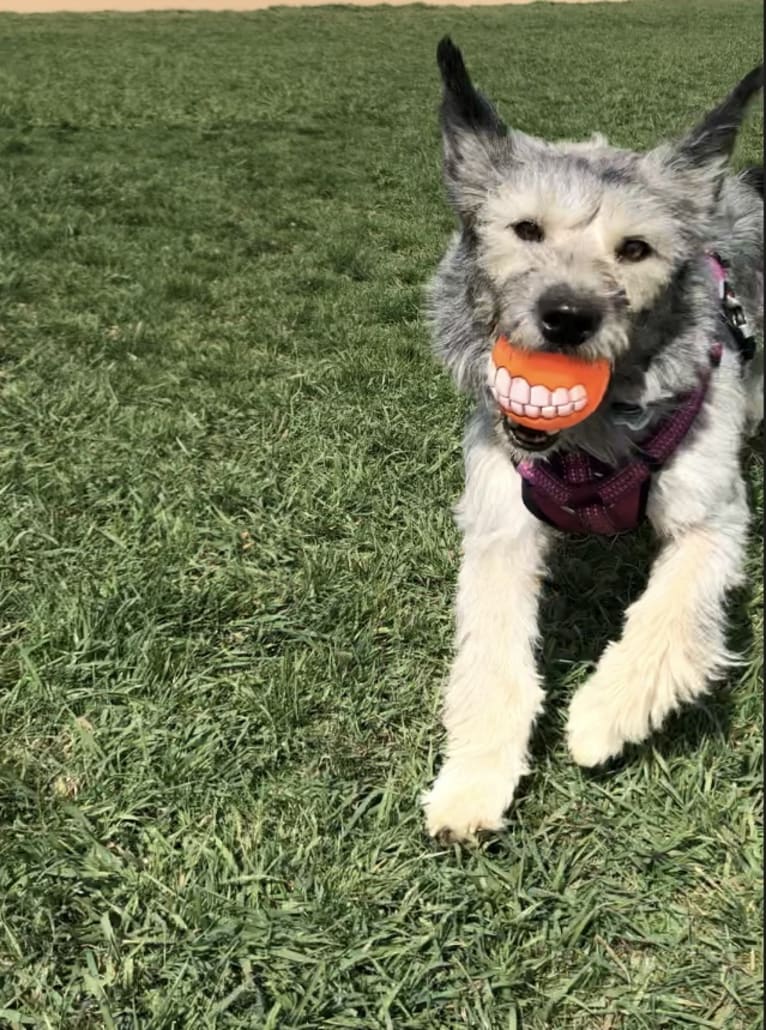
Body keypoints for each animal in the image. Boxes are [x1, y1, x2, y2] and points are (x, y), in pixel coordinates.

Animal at [422, 42, 761, 844]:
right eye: (526, 230)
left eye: (635, 248)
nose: (568, 315)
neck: (590, 441)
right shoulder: (498, 521)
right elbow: (490, 658)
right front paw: (472, 782)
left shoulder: (712, 515)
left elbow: (669, 616)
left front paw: (604, 716)